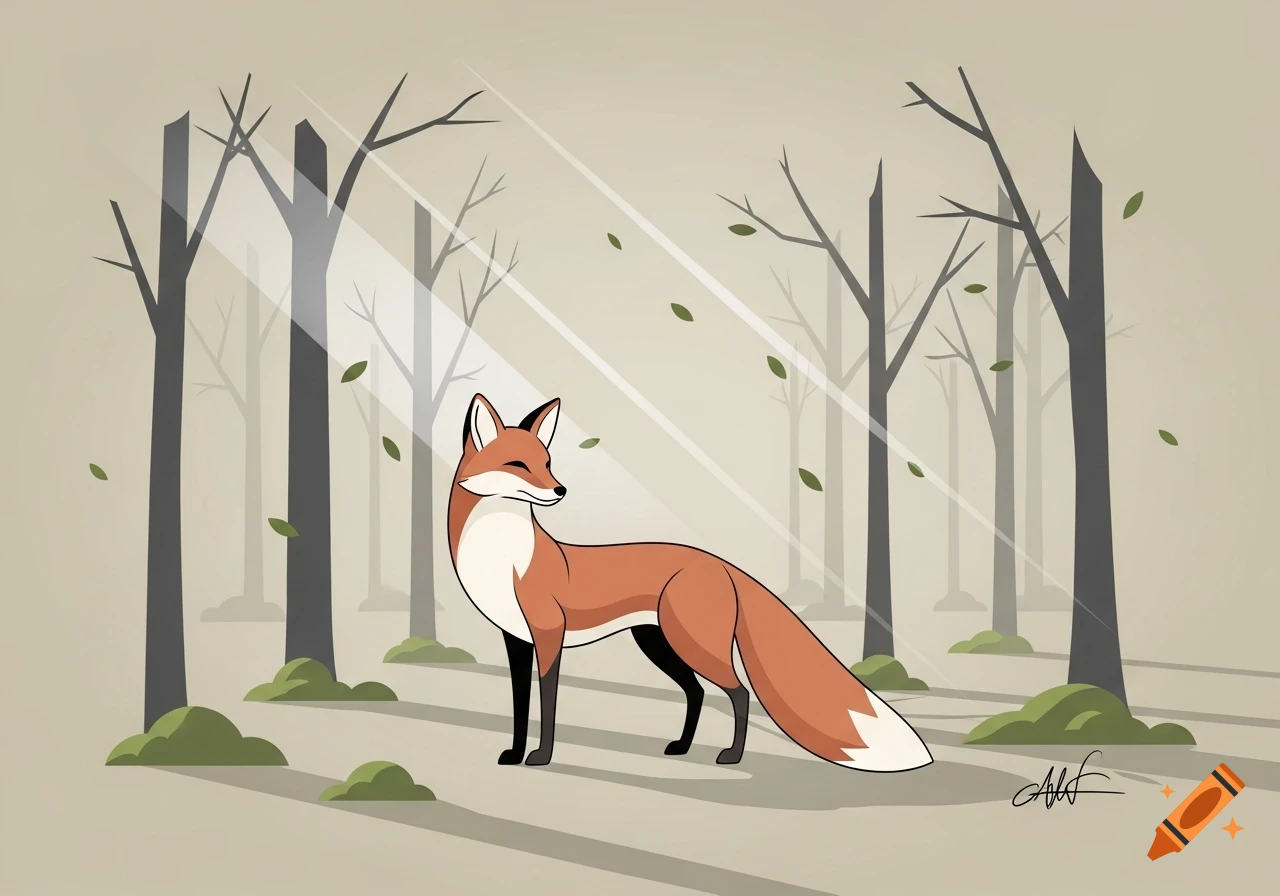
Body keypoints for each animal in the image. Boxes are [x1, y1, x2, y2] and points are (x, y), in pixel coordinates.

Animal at [447, 392, 934, 772]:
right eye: (517, 464)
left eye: (547, 463)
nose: (561, 490)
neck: (504, 558)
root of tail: (718, 562)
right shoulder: (516, 640)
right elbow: (519, 705)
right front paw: (514, 754)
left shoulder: (549, 634)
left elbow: (546, 704)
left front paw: (542, 757)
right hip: (660, 643)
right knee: (697, 691)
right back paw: (682, 747)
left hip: (693, 645)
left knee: (738, 693)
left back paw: (731, 756)